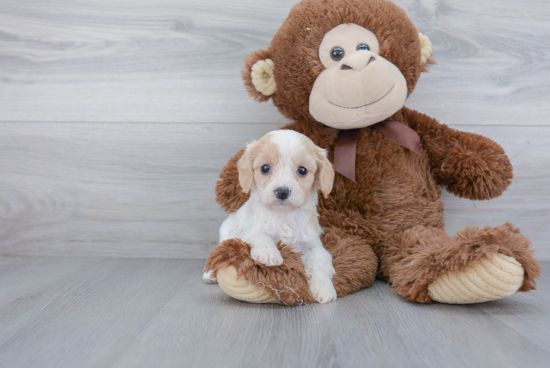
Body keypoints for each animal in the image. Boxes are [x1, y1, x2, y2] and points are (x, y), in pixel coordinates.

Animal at [205, 131, 338, 304]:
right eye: (265, 168)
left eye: (302, 170)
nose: (282, 191)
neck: (284, 215)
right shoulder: (249, 231)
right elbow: (260, 236)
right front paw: (269, 254)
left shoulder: (312, 243)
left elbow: (320, 260)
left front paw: (324, 289)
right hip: (226, 231)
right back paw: (209, 274)